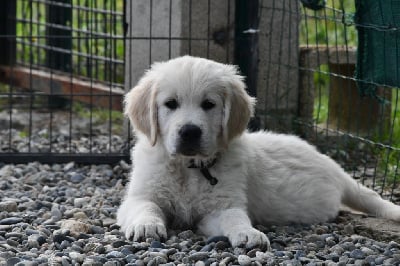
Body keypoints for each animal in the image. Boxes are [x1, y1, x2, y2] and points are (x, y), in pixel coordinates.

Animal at [117, 55, 400, 248]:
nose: (189, 131)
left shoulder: (223, 205)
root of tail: (333, 166)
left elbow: (235, 218)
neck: (190, 168)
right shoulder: (140, 195)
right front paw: (146, 226)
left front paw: (248, 233)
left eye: (209, 104)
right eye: (170, 104)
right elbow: (145, 207)